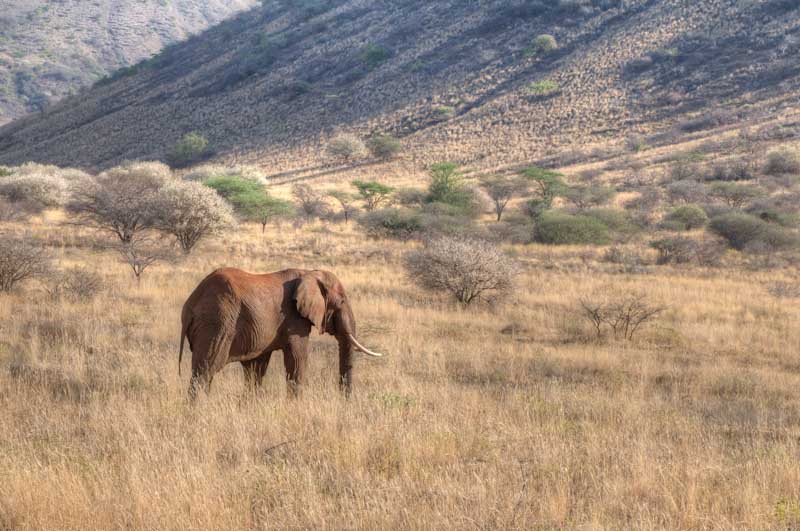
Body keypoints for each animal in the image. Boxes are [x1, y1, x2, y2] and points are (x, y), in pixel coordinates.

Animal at [179, 270, 384, 400]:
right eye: (341, 301)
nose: (345, 401)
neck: (309, 273)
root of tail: (191, 303)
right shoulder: (295, 319)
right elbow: (297, 359)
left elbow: (256, 369)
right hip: (217, 324)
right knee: (205, 370)